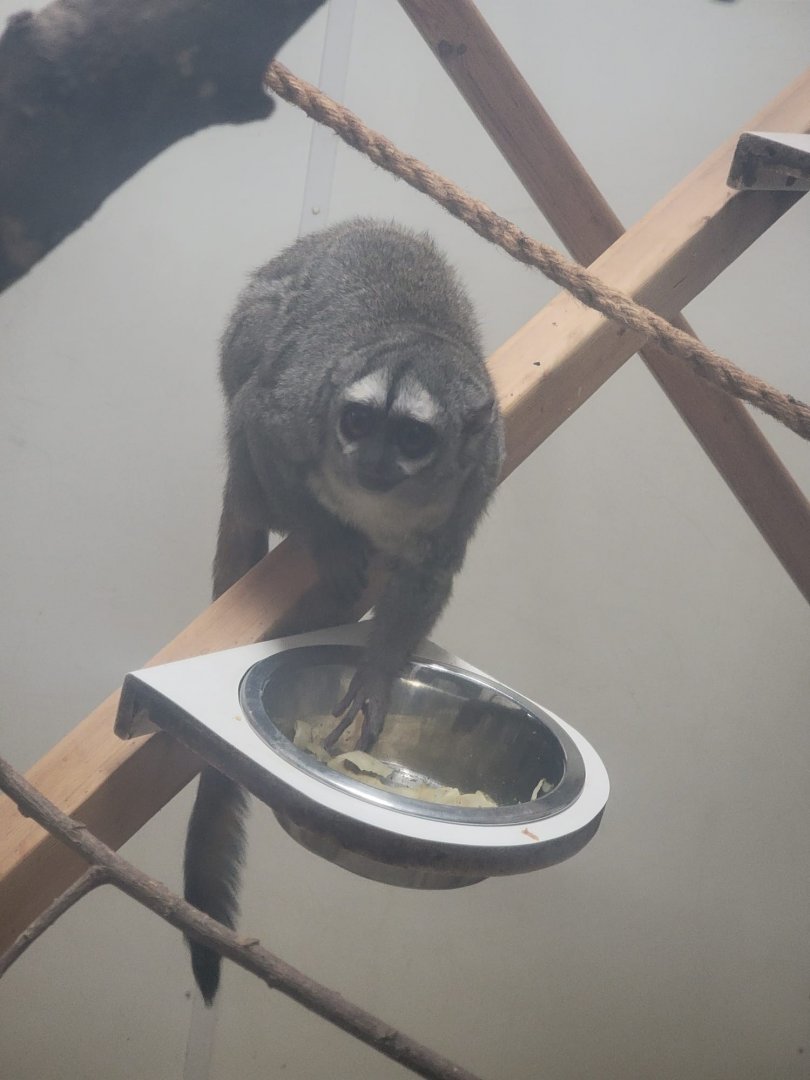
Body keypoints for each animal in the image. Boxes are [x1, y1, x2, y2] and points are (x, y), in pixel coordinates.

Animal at [184, 218, 504, 1004]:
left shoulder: (480, 473)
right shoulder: (296, 411)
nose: (374, 461)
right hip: (249, 366)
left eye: (413, 438)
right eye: (357, 422)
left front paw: (375, 678)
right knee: (253, 370)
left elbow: (433, 568)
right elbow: (260, 416)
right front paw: (328, 543)